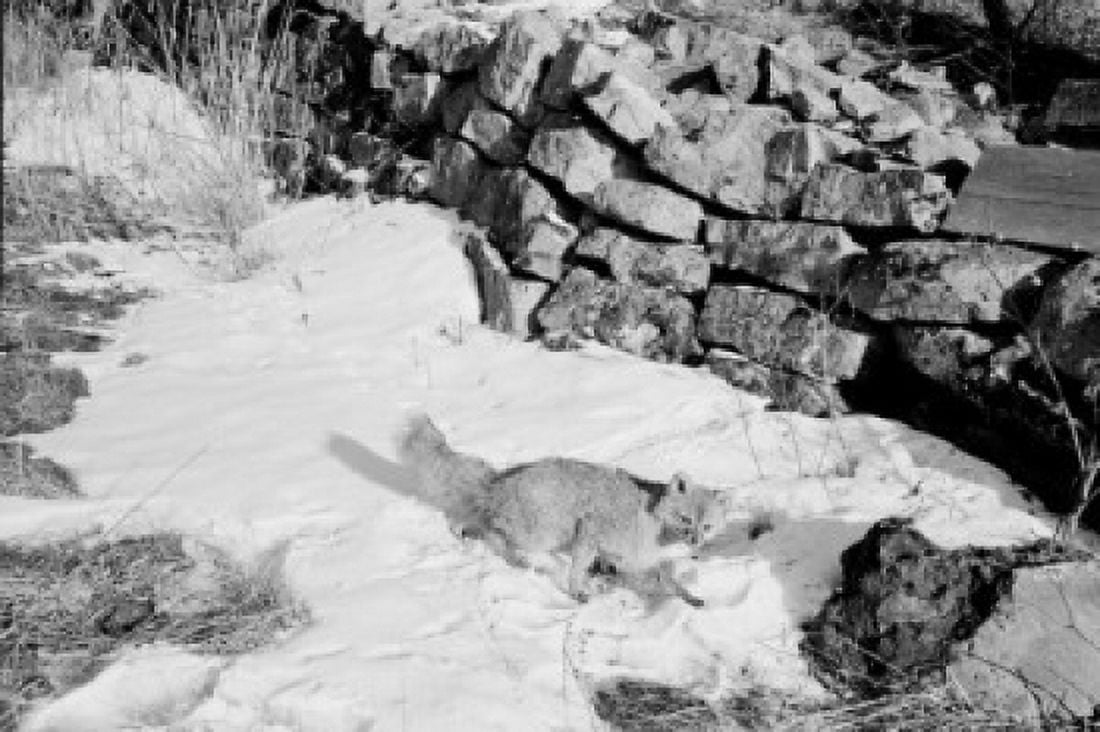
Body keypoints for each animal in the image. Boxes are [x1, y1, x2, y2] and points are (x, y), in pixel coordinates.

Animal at [397, 415, 724, 604]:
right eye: (685, 519)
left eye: (707, 526)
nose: (696, 542)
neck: (650, 517)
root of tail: (501, 478)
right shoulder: (590, 533)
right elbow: (577, 570)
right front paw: (577, 592)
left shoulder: (631, 558)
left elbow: (668, 580)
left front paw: (690, 598)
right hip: (541, 534)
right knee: (490, 529)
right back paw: (513, 559)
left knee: (471, 517)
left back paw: (465, 534)